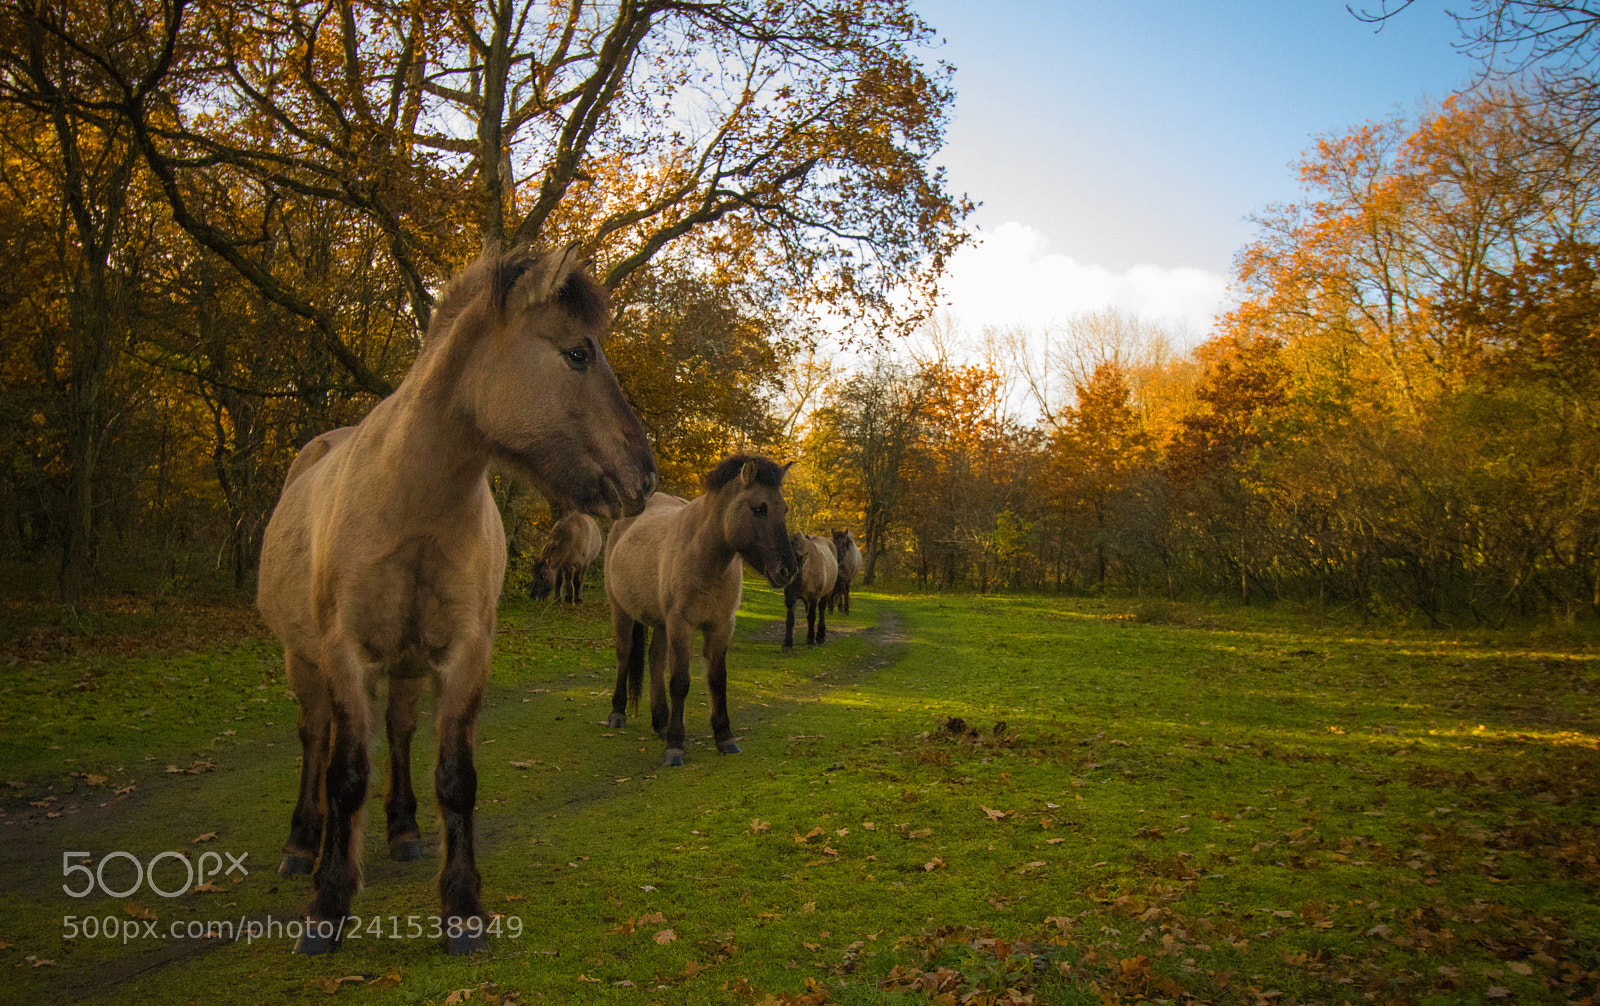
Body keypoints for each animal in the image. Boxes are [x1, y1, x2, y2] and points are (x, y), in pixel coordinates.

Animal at [256, 244, 656, 955]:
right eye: (578, 353)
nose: (645, 472)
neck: (410, 502)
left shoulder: (465, 655)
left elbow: (456, 778)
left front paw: (464, 906)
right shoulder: (345, 656)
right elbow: (345, 775)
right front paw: (328, 904)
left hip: (409, 667)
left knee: (399, 731)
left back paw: (404, 830)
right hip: (303, 660)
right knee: (315, 737)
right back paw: (302, 842)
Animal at [602, 456, 800, 766]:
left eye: (784, 509)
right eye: (759, 508)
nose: (788, 570)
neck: (704, 556)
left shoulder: (721, 626)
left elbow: (717, 680)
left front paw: (725, 739)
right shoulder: (681, 624)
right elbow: (680, 682)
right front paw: (675, 747)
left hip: (661, 623)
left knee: (655, 660)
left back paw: (661, 722)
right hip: (621, 610)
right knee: (624, 655)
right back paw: (618, 713)